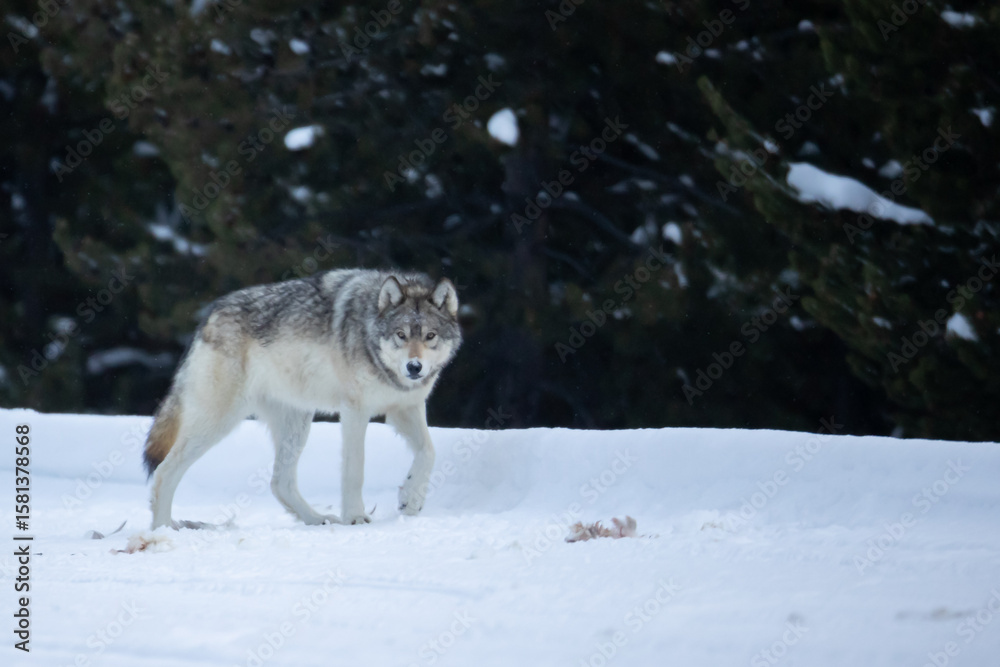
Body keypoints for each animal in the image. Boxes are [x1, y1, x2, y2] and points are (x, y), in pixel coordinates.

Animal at [143, 269, 461, 529]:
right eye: (401, 335)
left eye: (430, 335)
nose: (414, 367)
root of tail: (209, 315)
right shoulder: (355, 411)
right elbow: (355, 469)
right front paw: (355, 517)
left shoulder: (406, 407)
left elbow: (429, 452)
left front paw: (411, 499)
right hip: (219, 422)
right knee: (163, 472)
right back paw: (163, 529)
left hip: (296, 424)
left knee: (279, 483)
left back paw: (316, 519)